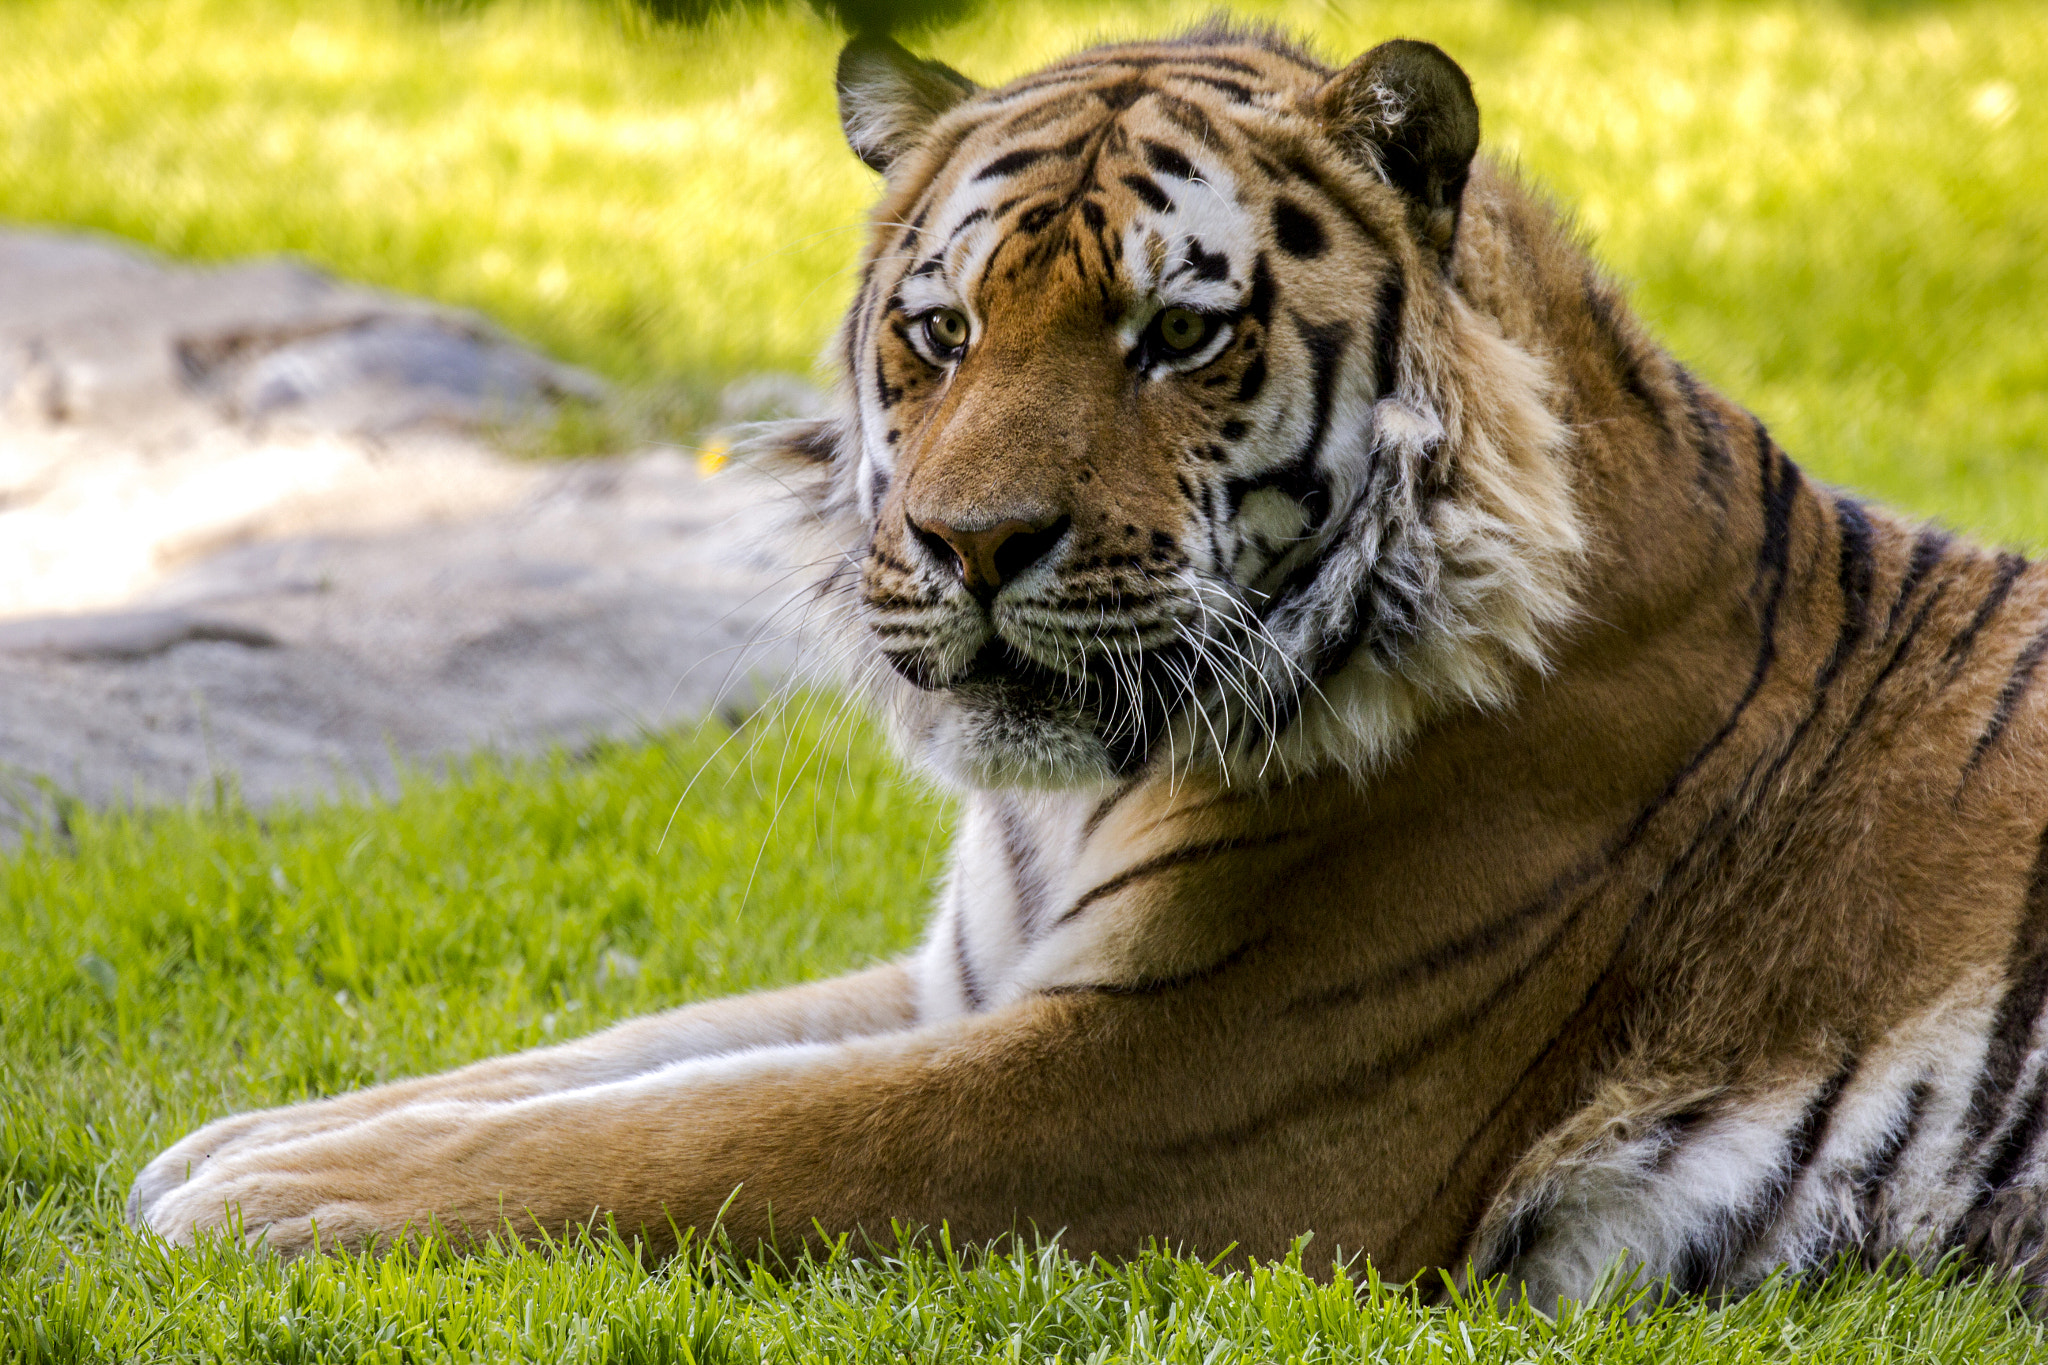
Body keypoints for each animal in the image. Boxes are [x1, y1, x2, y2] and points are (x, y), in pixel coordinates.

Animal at [129, 22, 2048, 1308]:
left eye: (1179, 334)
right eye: (941, 328)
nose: (972, 546)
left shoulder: (1165, 1090)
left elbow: (718, 1137)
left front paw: (266, 1204)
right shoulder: (963, 983)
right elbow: (627, 1053)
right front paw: (236, 1138)